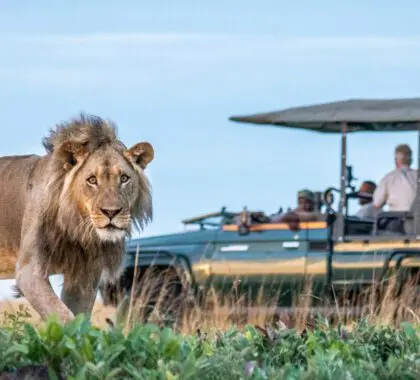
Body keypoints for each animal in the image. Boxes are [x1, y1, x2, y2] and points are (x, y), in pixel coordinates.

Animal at [0, 114, 154, 322]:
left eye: (124, 178)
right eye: (92, 180)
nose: (111, 212)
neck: (77, 227)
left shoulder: (84, 276)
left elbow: (78, 319)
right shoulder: (29, 271)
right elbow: (64, 316)